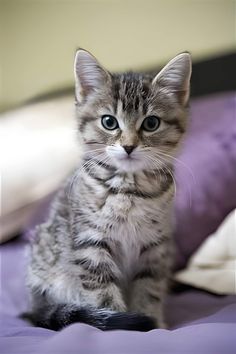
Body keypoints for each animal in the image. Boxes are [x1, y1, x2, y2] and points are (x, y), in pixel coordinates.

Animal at [25, 50, 192, 332]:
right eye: (109, 122)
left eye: (151, 123)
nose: (129, 146)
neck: (129, 188)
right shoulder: (91, 244)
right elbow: (103, 295)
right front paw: (124, 326)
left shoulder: (155, 248)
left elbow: (149, 289)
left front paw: (153, 322)